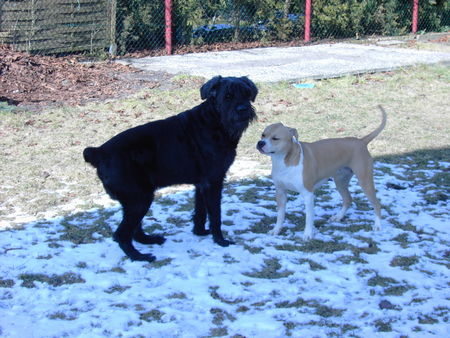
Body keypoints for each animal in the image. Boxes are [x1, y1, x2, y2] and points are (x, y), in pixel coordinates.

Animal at [83, 76, 256, 262]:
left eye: (247, 94)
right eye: (228, 96)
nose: (243, 109)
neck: (215, 121)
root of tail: (99, 152)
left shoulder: (201, 184)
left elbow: (200, 211)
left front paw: (200, 232)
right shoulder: (213, 182)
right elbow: (215, 214)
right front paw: (220, 240)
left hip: (135, 200)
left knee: (134, 229)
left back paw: (149, 240)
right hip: (139, 199)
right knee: (122, 234)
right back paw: (139, 256)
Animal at [256, 106, 386, 240]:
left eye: (275, 138)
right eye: (263, 135)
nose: (260, 143)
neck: (284, 161)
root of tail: (361, 141)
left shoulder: (308, 194)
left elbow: (309, 217)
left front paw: (308, 234)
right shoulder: (280, 191)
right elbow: (280, 215)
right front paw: (276, 230)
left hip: (365, 181)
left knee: (376, 204)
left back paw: (377, 225)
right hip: (340, 181)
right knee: (348, 199)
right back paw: (338, 217)